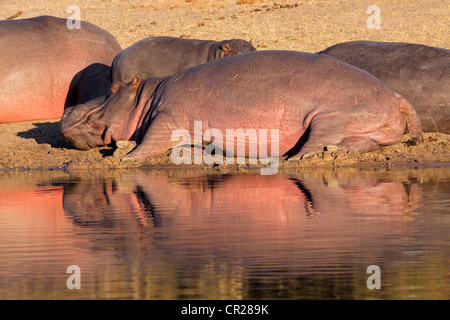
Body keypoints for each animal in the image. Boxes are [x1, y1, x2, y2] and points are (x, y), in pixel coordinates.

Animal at [61, 51, 424, 161]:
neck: (147, 96)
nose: (65, 111)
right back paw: (335, 153)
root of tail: (395, 95)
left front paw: (124, 157)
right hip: (369, 128)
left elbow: (150, 141)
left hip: (329, 116)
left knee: (319, 139)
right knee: (360, 143)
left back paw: (297, 158)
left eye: (113, 88)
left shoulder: (167, 115)